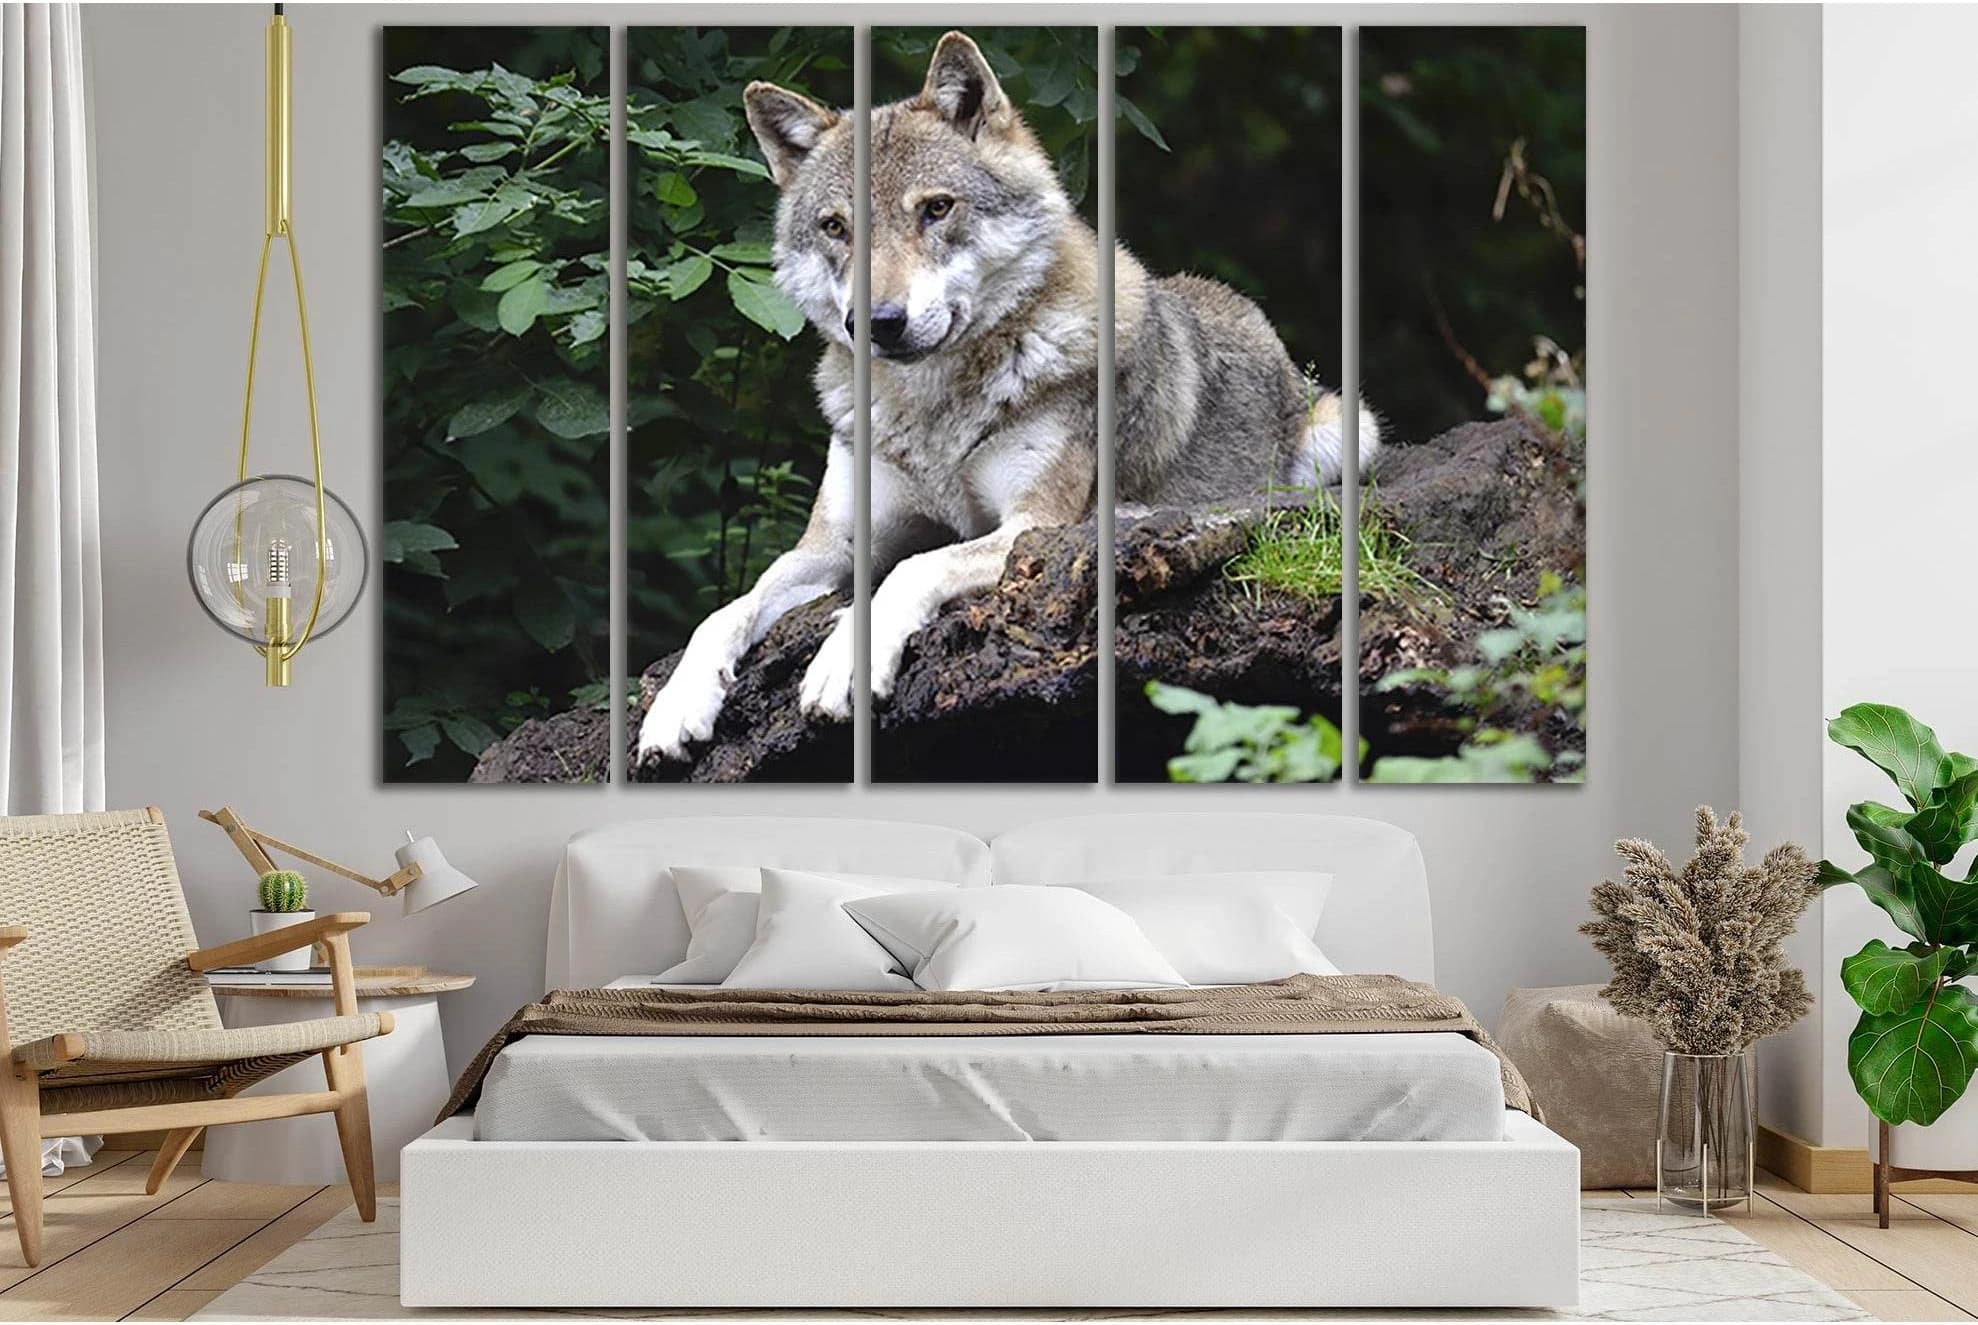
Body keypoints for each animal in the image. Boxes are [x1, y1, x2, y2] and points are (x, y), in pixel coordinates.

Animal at [636, 31, 1377, 763]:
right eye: (835, 227)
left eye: (936, 209)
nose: (877, 323)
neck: (932, 410)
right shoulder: (832, 546)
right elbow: (725, 611)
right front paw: (674, 706)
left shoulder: (1031, 525)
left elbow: (913, 569)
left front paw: (844, 662)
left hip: (1349, 430)